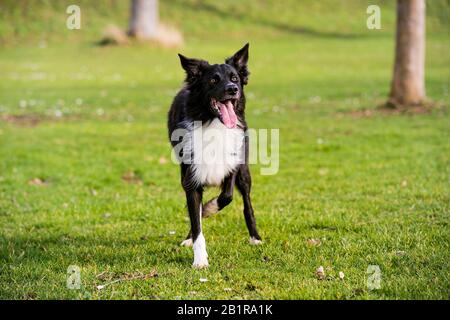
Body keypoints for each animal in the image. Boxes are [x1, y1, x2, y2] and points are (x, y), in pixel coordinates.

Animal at [168, 43, 260, 268]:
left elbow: (226, 196)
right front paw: (200, 259)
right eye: (213, 80)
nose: (233, 89)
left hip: (245, 173)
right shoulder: (190, 180)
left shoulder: (233, 164)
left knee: (246, 203)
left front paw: (210, 208)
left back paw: (255, 237)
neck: (214, 124)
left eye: (235, 78)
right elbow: (196, 221)